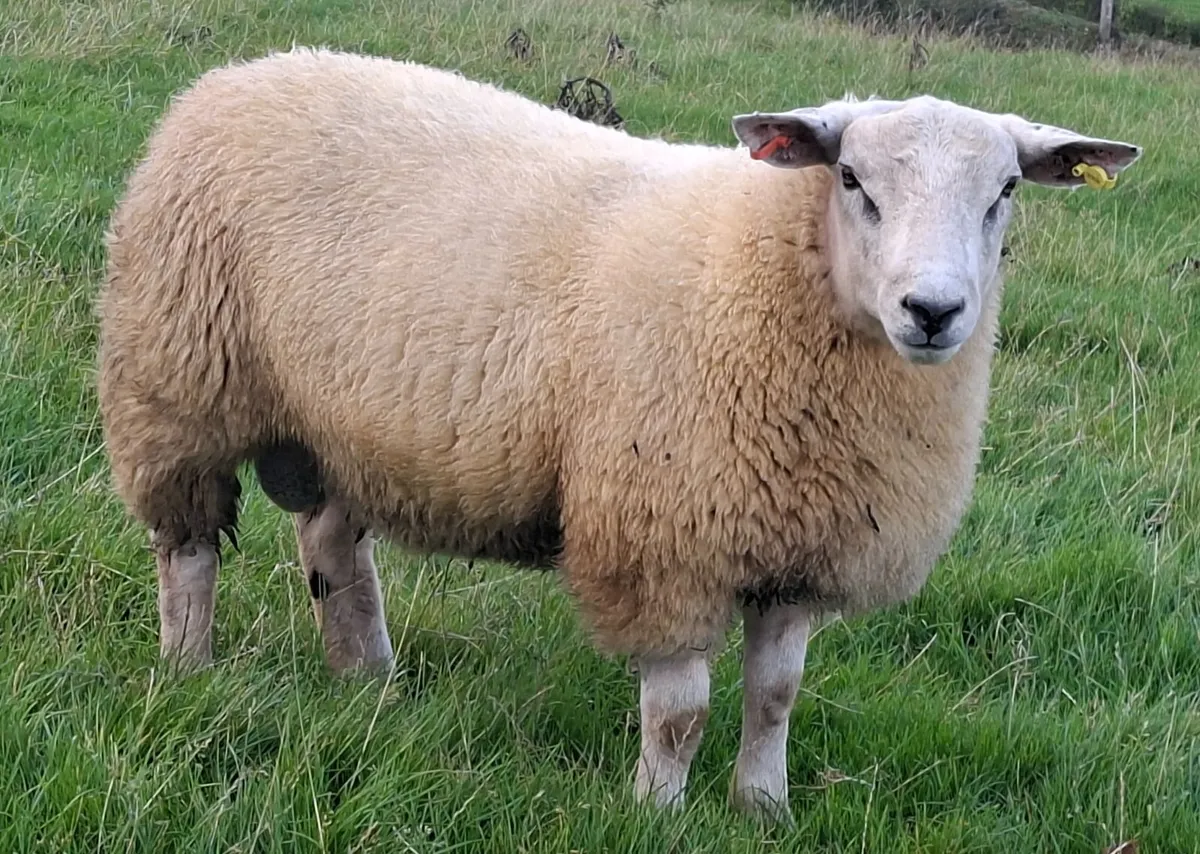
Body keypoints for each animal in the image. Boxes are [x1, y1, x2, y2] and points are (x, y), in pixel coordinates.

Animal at [96, 47, 1142, 821]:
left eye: (1005, 190)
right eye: (850, 178)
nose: (934, 311)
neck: (770, 271)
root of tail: (239, 73)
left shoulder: (801, 545)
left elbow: (776, 695)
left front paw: (765, 809)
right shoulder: (664, 537)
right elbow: (680, 711)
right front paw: (658, 811)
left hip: (341, 420)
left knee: (331, 547)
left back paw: (368, 682)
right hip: (178, 382)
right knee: (188, 547)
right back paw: (189, 669)